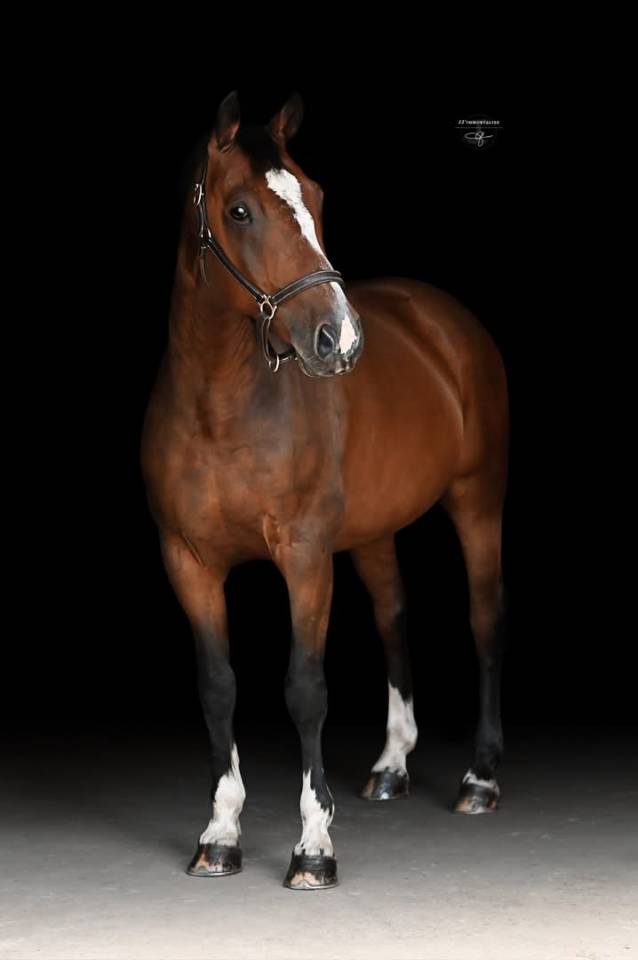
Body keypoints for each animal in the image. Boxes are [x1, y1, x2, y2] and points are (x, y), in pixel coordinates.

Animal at [140, 91, 509, 890]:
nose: (339, 339)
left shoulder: (305, 557)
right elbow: (217, 687)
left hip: (478, 501)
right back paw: (392, 765)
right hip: (373, 531)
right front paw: (220, 836)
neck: (220, 409)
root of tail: (443, 319)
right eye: (240, 210)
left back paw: (481, 779)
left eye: (314, 195)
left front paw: (314, 846)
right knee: (395, 617)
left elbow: (304, 689)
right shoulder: (188, 560)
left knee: (484, 621)